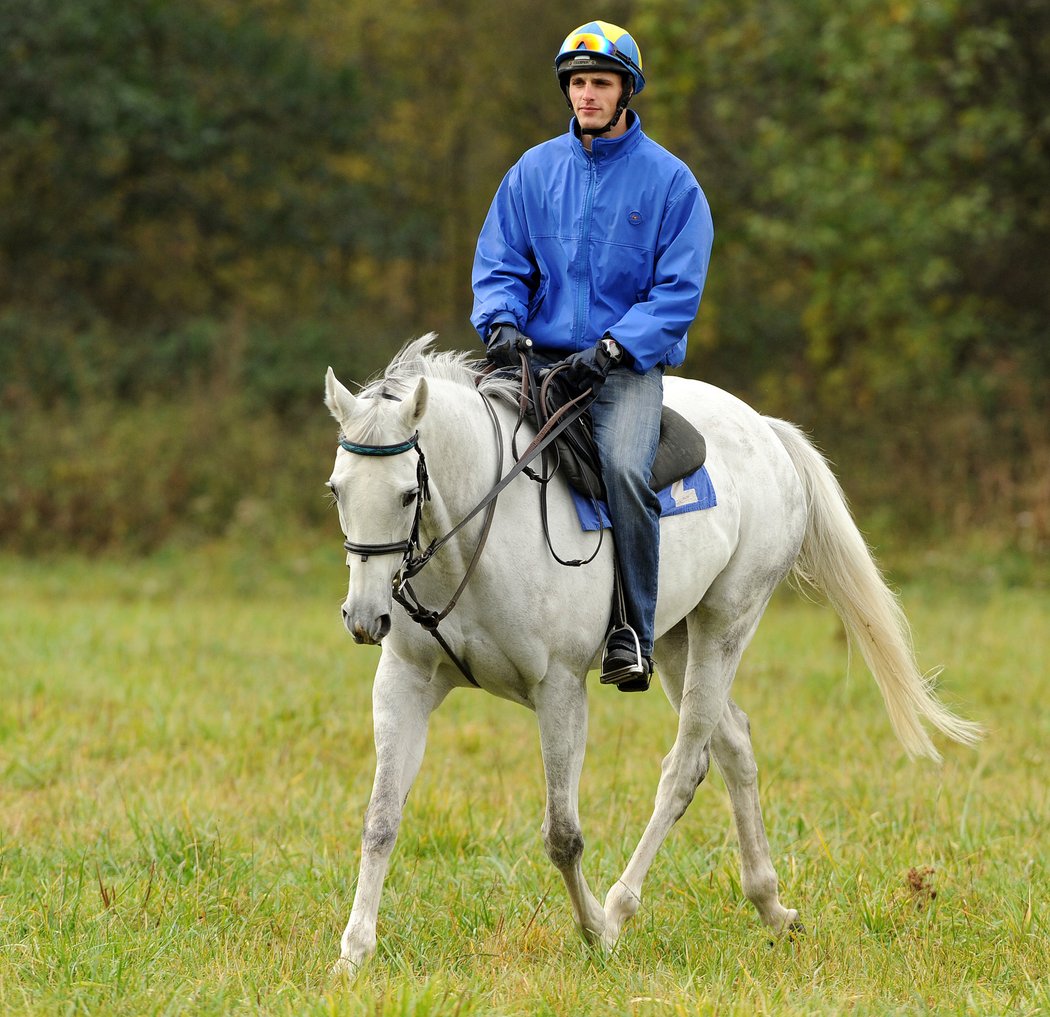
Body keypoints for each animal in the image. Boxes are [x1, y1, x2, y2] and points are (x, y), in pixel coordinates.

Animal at [323, 333, 978, 969]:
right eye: (336, 490)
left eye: (407, 493)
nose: (364, 617)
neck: (478, 532)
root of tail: (766, 429)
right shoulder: (405, 682)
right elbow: (381, 820)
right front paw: (354, 954)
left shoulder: (560, 690)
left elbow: (563, 834)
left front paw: (594, 930)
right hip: (673, 639)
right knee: (733, 742)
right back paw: (770, 905)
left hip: (725, 625)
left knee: (685, 765)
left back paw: (620, 908)